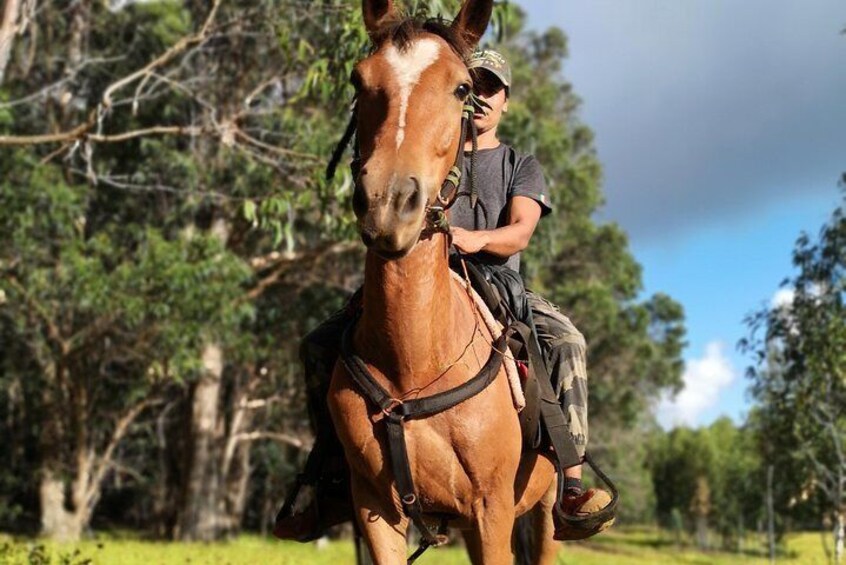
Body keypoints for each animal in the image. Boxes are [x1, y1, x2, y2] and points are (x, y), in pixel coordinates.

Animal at [330, 1, 564, 564]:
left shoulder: (490, 511)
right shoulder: (375, 508)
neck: (414, 364)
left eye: (462, 88)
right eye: (358, 79)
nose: (390, 203)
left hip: (546, 510)